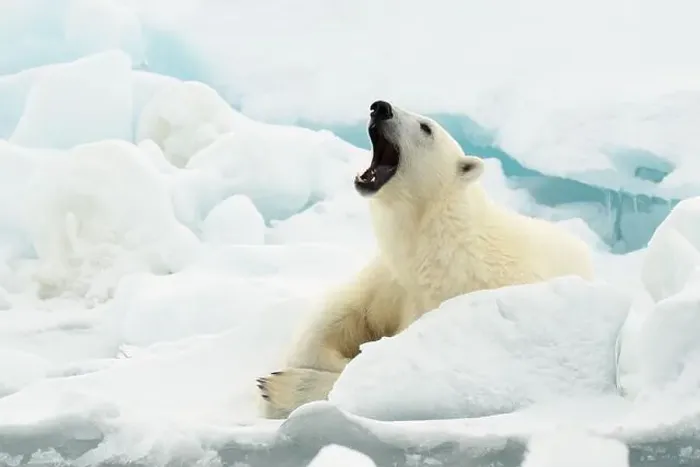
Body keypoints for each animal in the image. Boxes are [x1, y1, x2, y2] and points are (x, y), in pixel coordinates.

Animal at [256, 100, 595, 419]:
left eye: (426, 127)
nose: (380, 107)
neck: (434, 243)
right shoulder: (391, 279)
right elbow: (338, 316)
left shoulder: (457, 307)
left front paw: (281, 388)